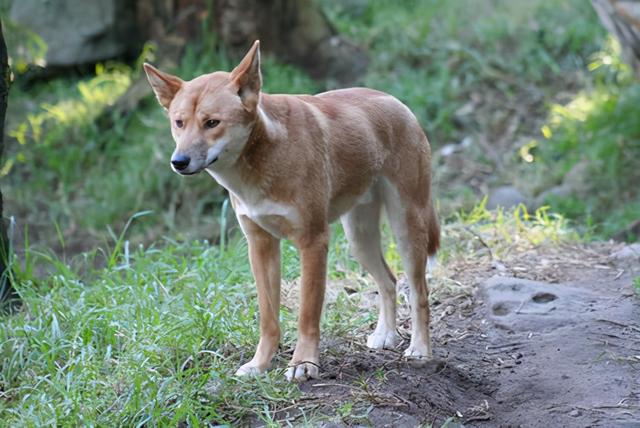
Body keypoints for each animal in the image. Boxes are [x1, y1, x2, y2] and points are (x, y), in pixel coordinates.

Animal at [142, 41, 438, 382]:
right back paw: (386, 335)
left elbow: (307, 315)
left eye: (212, 123)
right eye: (179, 123)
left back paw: (420, 349)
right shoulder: (261, 245)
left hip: (406, 226)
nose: (179, 161)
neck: (263, 158)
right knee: (388, 281)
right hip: (359, 238)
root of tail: (396, 101)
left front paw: (304, 363)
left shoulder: (313, 242)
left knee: (418, 292)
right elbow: (268, 319)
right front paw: (260, 364)